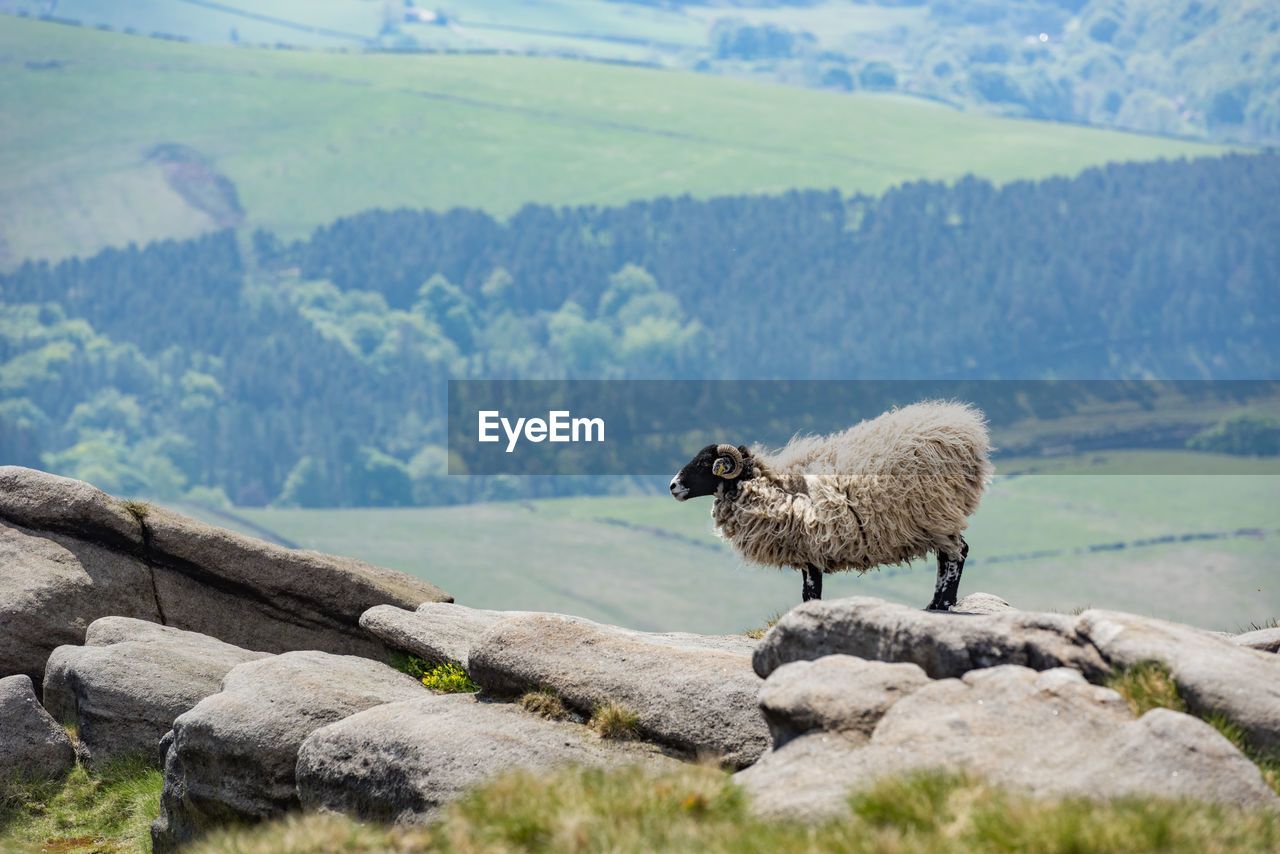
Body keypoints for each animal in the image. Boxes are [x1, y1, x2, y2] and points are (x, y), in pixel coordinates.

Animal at [665, 396, 993, 612]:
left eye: (705, 463)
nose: (672, 486)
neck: (772, 485)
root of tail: (964, 430)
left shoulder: (812, 546)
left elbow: (810, 593)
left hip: (936, 510)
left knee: (958, 553)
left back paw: (943, 604)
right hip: (935, 518)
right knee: (947, 556)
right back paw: (935, 603)